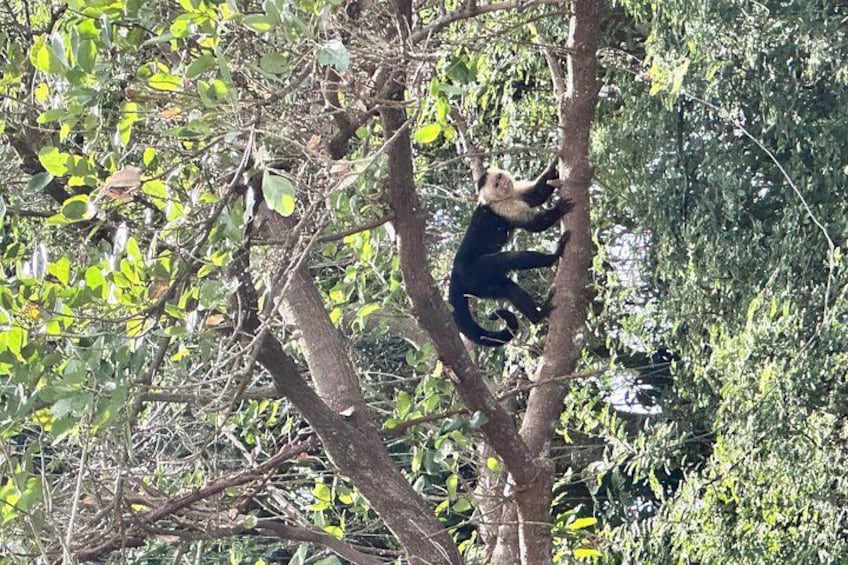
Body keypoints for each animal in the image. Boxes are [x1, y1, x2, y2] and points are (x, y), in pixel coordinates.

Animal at [448, 159, 573, 346]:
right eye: (496, 184)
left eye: (499, 177)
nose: (503, 184)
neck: (500, 198)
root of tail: (454, 274)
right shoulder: (502, 207)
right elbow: (535, 224)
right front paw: (558, 209)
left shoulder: (514, 193)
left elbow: (537, 195)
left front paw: (553, 168)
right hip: (473, 272)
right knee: (507, 260)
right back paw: (551, 259)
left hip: (481, 286)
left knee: (507, 287)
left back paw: (535, 316)